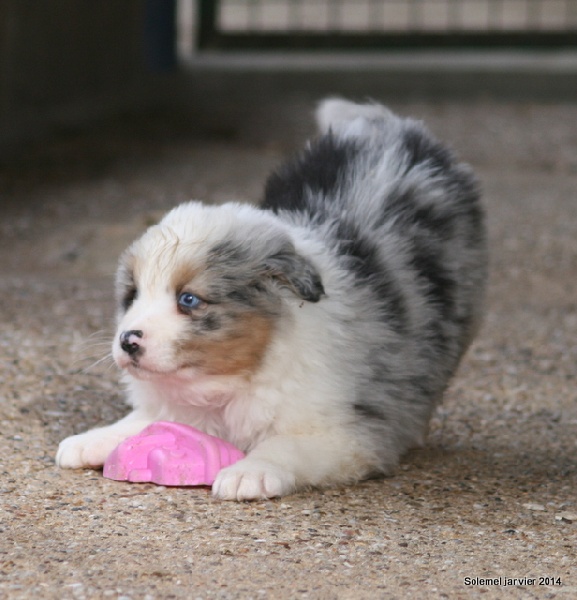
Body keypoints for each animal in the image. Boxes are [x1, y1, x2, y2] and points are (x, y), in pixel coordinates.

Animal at [56, 99, 487, 500]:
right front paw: (91, 439)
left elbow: (285, 445)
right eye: (132, 295)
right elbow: (141, 419)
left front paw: (249, 472)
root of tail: (395, 128)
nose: (127, 341)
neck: (232, 382)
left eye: (189, 300)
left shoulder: (342, 435)